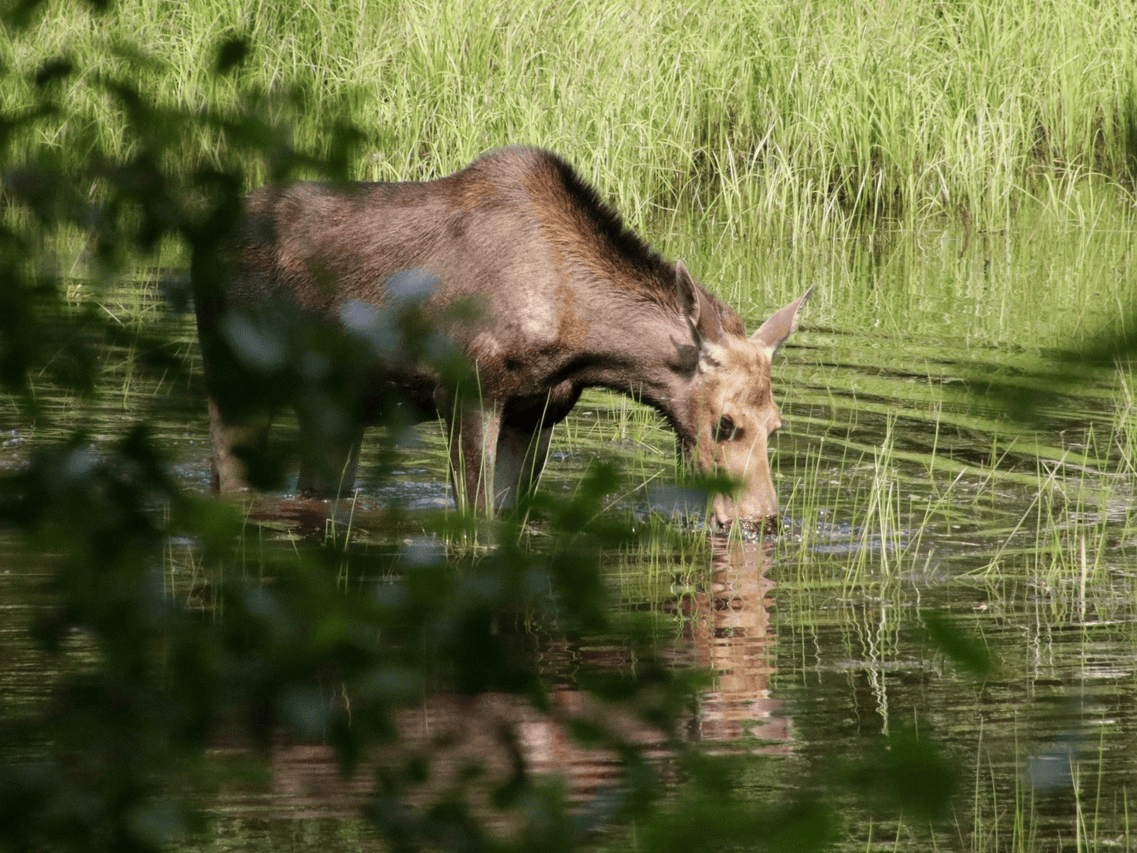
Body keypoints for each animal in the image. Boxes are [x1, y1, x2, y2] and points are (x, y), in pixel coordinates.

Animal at [193, 150, 809, 532]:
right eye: (724, 424)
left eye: (777, 424)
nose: (762, 520)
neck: (582, 344)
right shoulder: (466, 393)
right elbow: (477, 518)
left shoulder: (537, 413)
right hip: (234, 376)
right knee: (229, 482)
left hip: (333, 404)